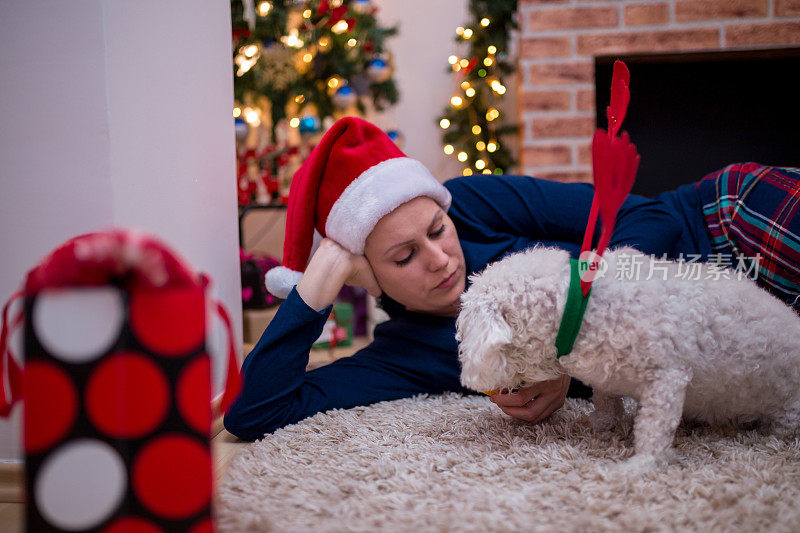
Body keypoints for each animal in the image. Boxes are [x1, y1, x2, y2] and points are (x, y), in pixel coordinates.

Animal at [456, 247, 800, 468]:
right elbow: (605, 397)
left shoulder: (668, 376)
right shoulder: (605, 372)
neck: (579, 310)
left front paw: (643, 465)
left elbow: (654, 426)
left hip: (786, 414)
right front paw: (603, 422)